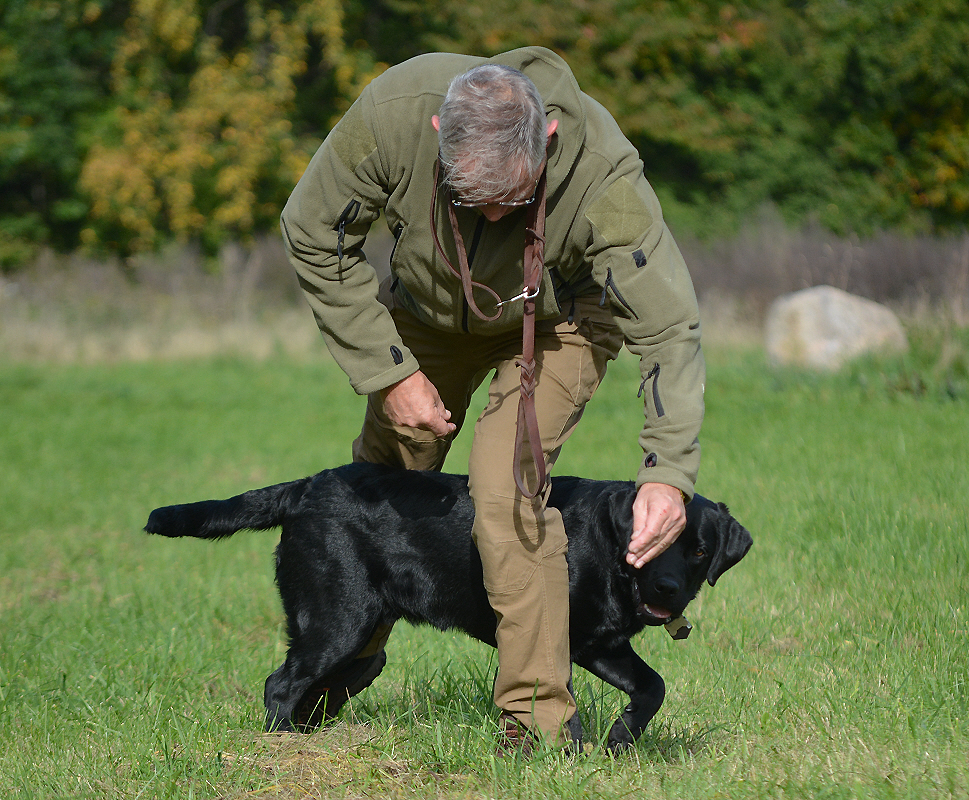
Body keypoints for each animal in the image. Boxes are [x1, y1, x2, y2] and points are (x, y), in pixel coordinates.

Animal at [144, 462, 752, 752]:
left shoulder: (603, 642)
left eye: (699, 551)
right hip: (338, 622)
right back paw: (281, 747)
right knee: (280, 684)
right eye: (649, 541)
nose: (667, 588)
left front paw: (622, 740)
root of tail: (304, 488)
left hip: (363, 646)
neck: (606, 547)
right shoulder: (564, 635)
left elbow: (653, 686)